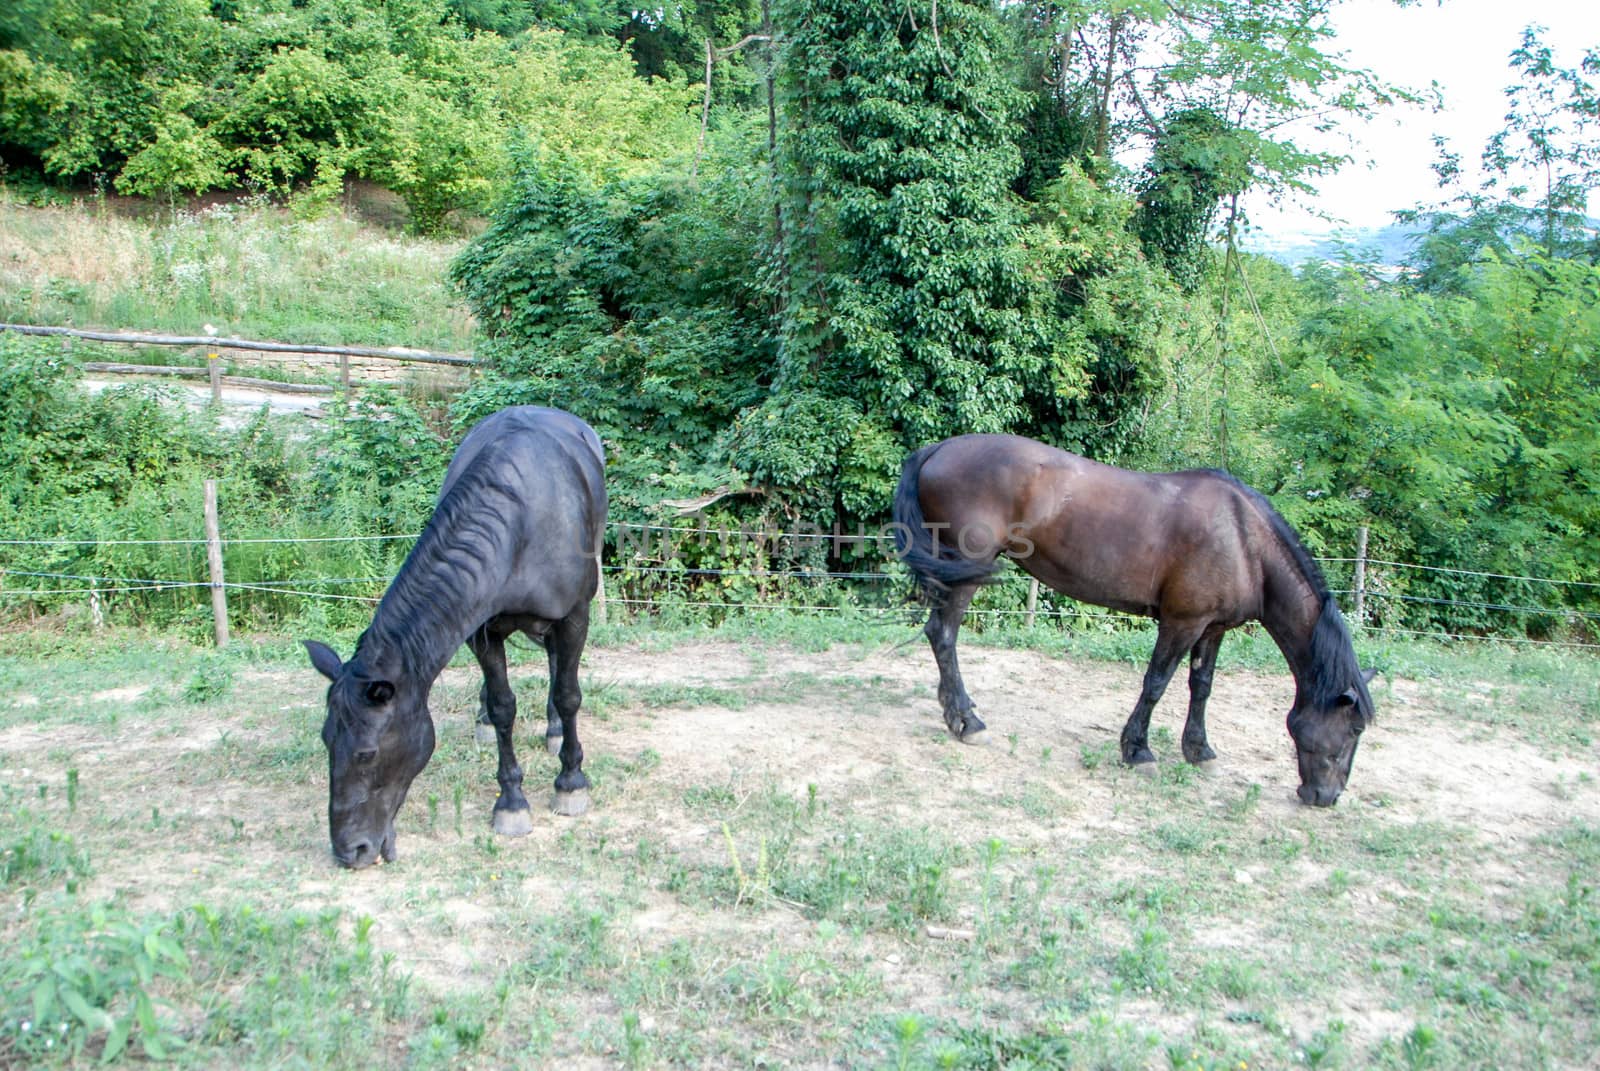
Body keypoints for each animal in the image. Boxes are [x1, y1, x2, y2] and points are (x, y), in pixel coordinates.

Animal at [302, 405, 601, 864]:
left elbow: (569, 694)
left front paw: (570, 782)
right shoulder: (480, 630)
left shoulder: (573, 616)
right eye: (325, 740)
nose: (349, 849)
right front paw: (511, 801)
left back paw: (553, 731)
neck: (520, 527)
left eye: (367, 753)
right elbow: (502, 706)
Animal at [889, 432, 1376, 800]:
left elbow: (1202, 687)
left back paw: (955, 710)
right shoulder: (1181, 623)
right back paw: (967, 723)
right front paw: (1137, 750)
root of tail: (936, 449)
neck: (1243, 541)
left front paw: (1199, 750)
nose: (1326, 797)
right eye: (1353, 729)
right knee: (943, 635)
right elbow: (1156, 683)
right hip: (965, 574)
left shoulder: (1213, 628)